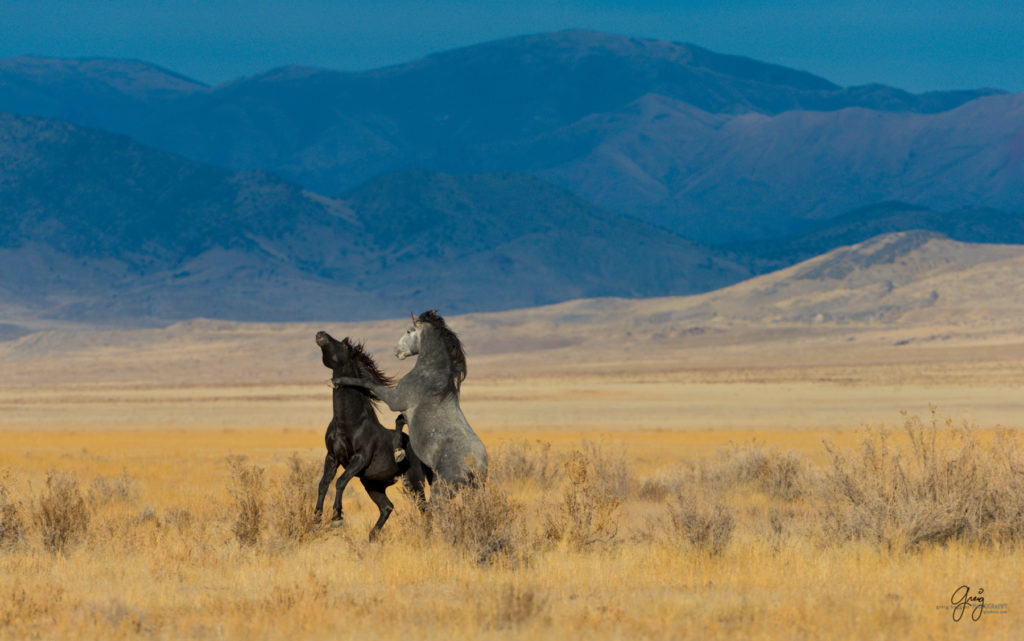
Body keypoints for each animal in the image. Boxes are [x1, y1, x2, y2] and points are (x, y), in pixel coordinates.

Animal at [309, 331, 425, 536]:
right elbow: (323, 484)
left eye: (344, 345)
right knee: (387, 507)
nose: (321, 334)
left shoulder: (360, 458)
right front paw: (316, 520)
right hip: (373, 484)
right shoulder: (332, 457)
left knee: (427, 508)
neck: (349, 423)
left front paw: (337, 518)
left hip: (414, 481)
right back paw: (372, 536)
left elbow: (340, 482)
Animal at [329, 309, 485, 483]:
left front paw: (338, 381)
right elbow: (399, 420)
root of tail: (474, 466)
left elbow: (368, 382)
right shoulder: (403, 410)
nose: (395, 350)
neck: (431, 375)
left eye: (409, 331)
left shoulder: (395, 400)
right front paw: (398, 451)